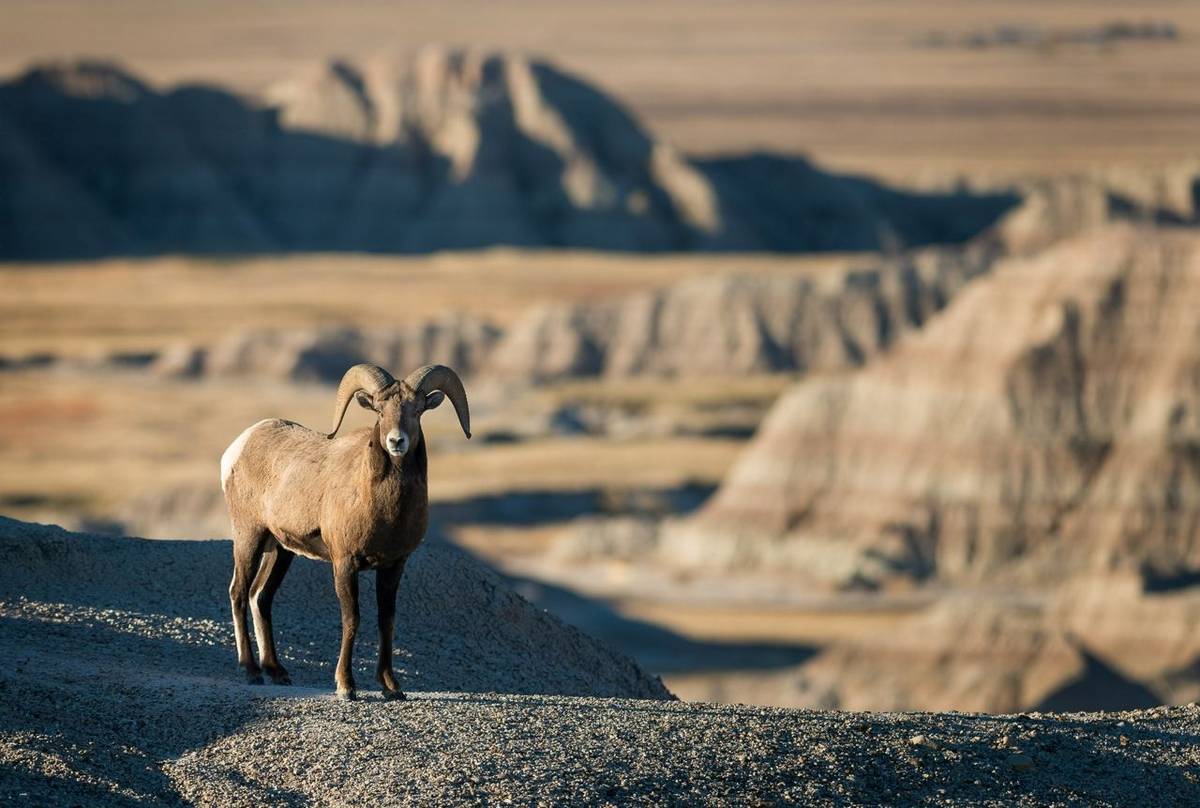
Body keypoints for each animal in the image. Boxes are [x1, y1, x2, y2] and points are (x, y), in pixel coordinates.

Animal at [220, 362, 468, 696]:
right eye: (379, 411)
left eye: (417, 410)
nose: (396, 442)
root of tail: (239, 446)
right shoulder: (345, 563)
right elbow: (352, 619)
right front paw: (346, 686)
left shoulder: (394, 566)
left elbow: (386, 621)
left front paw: (391, 687)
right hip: (250, 536)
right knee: (238, 592)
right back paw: (250, 671)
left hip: (280, 550)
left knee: (260, 596)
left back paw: (276, 672)